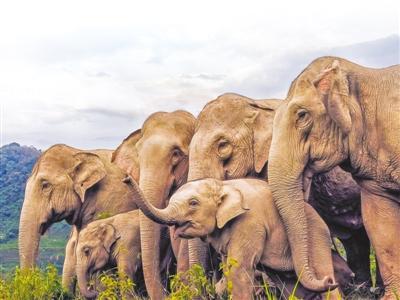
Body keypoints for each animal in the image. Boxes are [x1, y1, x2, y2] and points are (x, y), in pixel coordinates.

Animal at [134, 177, 340, 298]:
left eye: (193, 203)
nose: (127, 178)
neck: (223, 185)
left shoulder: (250, 223)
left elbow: (238, 271)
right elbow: (229, 269)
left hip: (317, 237)